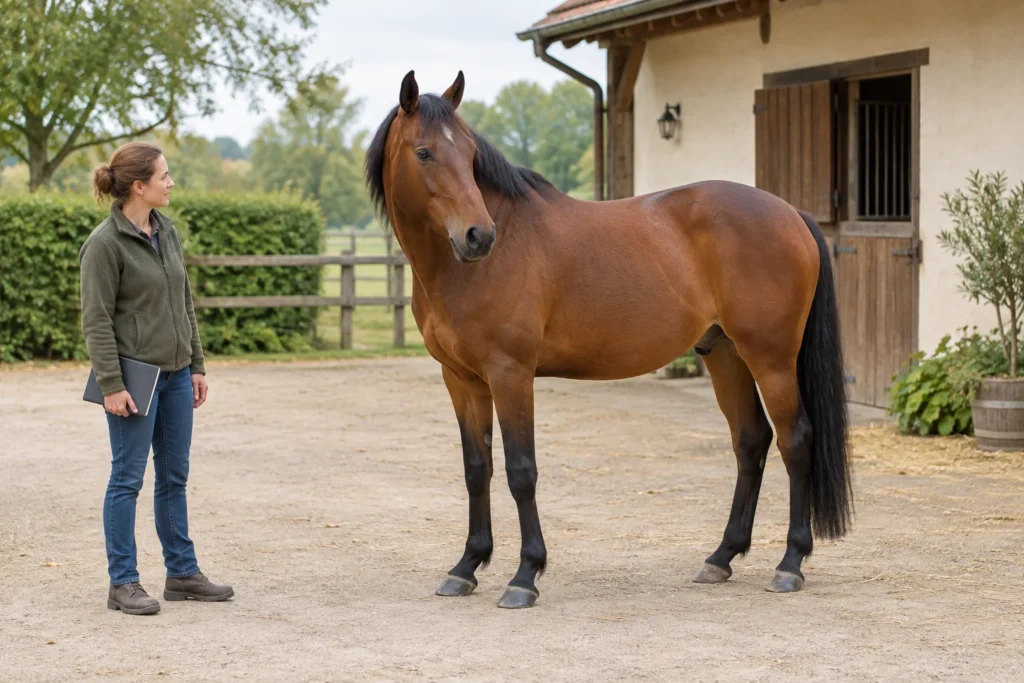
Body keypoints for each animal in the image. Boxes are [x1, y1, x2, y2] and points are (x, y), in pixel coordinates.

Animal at [364, 70, 852, 609]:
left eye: (470, 154)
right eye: (424, 152)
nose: (478, 236)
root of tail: (790, 213)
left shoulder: (510, 373)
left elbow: (521, 470)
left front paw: (525, 575)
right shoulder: (461, 378)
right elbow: (477, 468)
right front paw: (467, 566)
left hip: (771, 358)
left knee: (795, 440)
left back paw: (790, 563)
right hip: (724, 355)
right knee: (751, 441)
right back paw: (721, 557)